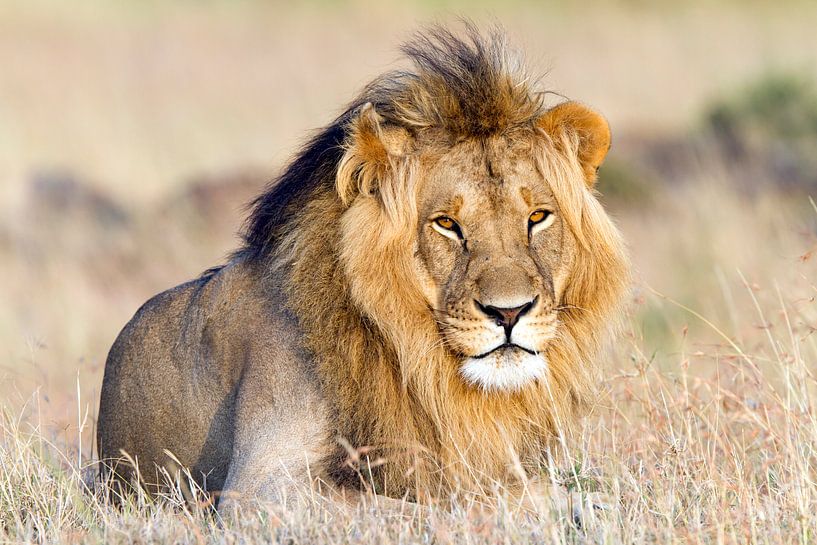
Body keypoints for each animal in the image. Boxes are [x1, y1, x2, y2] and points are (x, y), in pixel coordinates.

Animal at [97, 25, 629, 511]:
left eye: (537, 217)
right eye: (446, 223)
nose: (510, 313)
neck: (418, 362)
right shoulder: (260, 490)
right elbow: (442, 501)